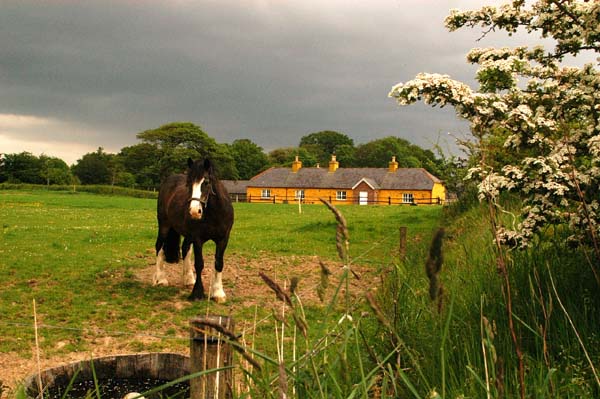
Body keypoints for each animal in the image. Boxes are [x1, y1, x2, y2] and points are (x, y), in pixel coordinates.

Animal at [154, 158, 233, 302]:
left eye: (206, 182)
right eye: (189, 184)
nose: (195, 211)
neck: (215, 213)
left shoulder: (223, 239)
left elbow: (219, 263)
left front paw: (218, 293)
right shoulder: (197, 238)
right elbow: (199, 264)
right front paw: (197, 293)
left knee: (185, 248)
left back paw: (189, 279)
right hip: (164, 226)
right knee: (159, 247)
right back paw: (160, 279)